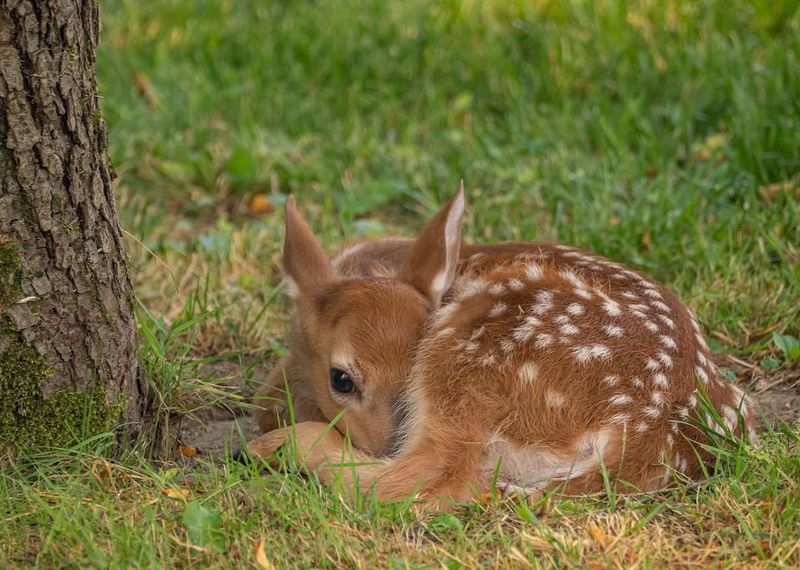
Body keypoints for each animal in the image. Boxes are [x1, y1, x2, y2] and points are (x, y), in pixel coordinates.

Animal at [245, 183, 756, 506]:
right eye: (342, 379)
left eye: (407, 375)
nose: (388, 442)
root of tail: (651, 433)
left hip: (479, 343)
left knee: (434, 476)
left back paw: (271, 449)